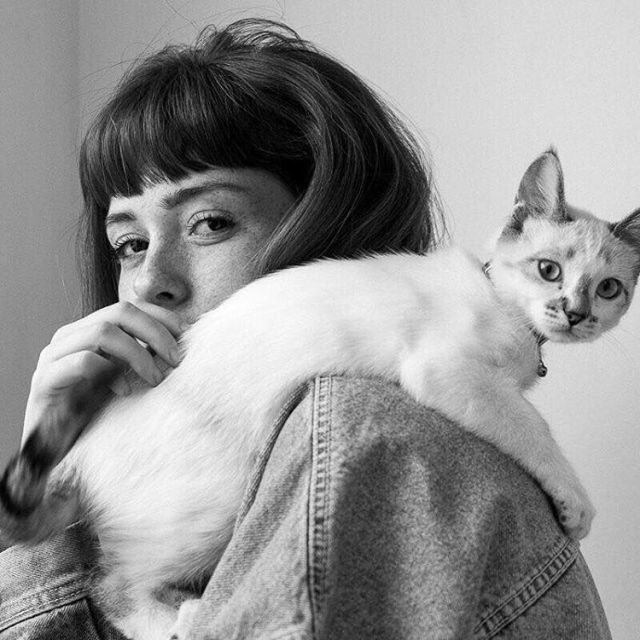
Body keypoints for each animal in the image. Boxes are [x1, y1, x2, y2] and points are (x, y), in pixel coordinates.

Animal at [1, 148, 640, 636]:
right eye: (549, 270)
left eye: (609, 289)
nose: (575, 314)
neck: (512, 318)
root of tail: (91, 432)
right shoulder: (449, 371)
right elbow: (532, 427)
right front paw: (576, 503)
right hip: (216, 500)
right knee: (111, 586)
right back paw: (180, 620)